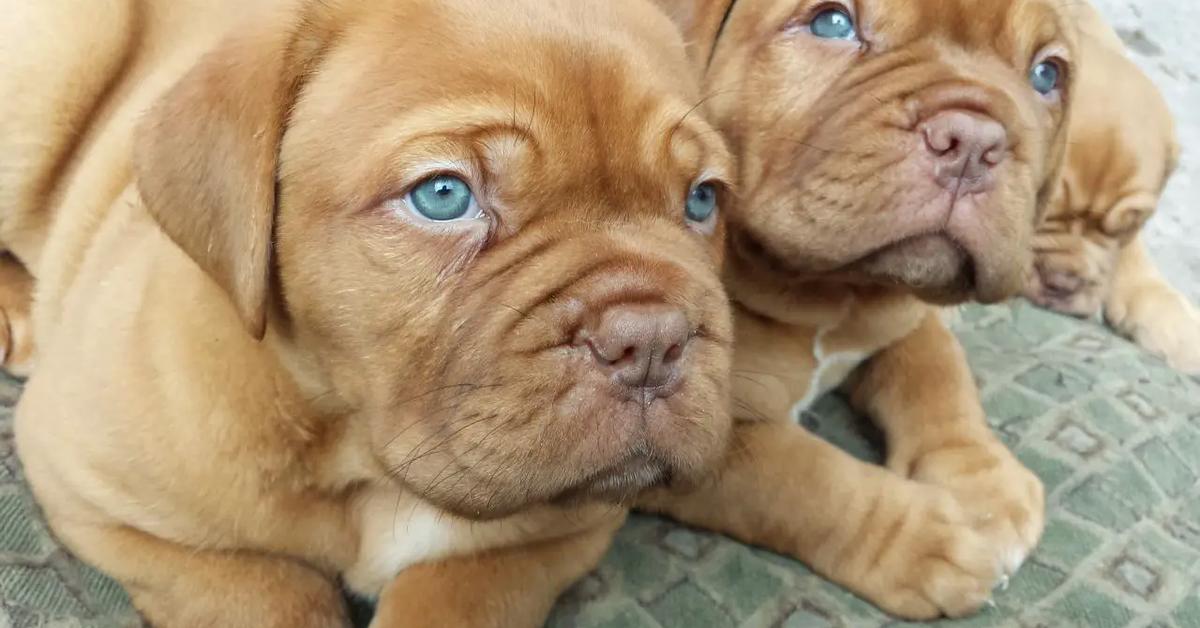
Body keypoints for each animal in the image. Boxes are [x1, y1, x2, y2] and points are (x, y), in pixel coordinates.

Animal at [2, 1, 729, 628]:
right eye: (443, 195)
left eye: (702, 200)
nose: (652, 341)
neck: (366, 465)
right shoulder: (98, 491)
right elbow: (269, 595)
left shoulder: (554, 537)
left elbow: (458, 595)